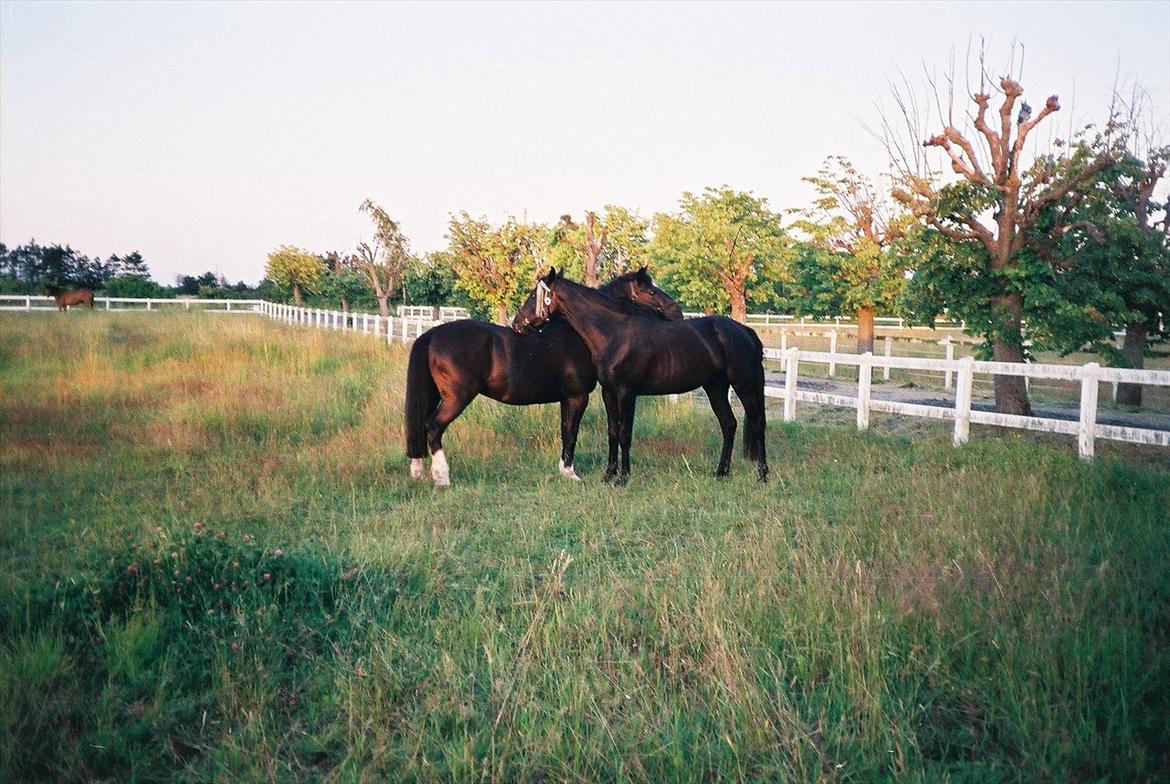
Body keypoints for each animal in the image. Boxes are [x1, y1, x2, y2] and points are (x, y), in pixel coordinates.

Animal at [404, 273, 683, 489]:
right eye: (650, 290)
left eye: (533, 296)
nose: (677, 313)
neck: (581, 334)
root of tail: (432, 334)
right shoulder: (578, 397)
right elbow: (572, 432)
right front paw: (571, 474)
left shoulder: (566, 398)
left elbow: (565, 431)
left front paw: (564, 470)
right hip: (456, 398)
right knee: (433, 427)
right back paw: (442, 478)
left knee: (421, 424)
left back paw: (418, 472)